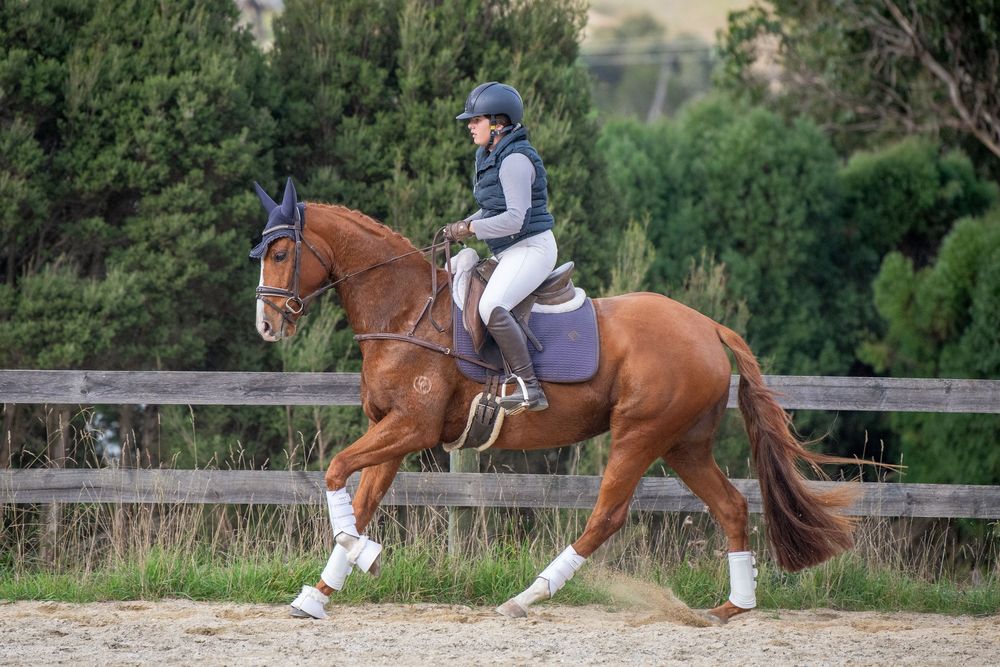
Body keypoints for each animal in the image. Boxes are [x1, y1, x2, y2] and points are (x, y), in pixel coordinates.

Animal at [252, 178, 864, 623]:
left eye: (280, 252)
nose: (266, 325)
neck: (406, 312)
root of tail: (708, 326)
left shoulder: (410, 428)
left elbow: (336, 472)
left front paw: (367, 557)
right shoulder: (393, 433)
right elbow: (358, 503)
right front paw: (318, 595)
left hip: (640, 434)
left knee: (606, 516)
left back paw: (528, 596)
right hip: (683, 444)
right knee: (732, 506)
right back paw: (732, 607)